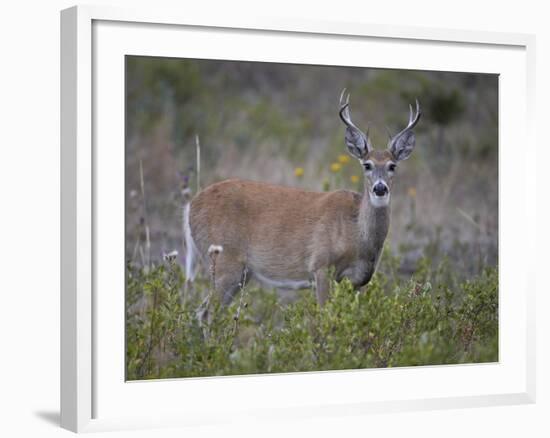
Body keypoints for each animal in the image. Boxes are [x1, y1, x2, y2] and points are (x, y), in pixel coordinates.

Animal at [184, 91, 422, 312]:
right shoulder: (321, 265)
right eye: (367, 164)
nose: (380, 188)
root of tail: (190, 205)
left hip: (240, 272)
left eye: (392, 166)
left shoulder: (358, 279)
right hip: (223, 261)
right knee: (205, 312)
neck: (356, 233)